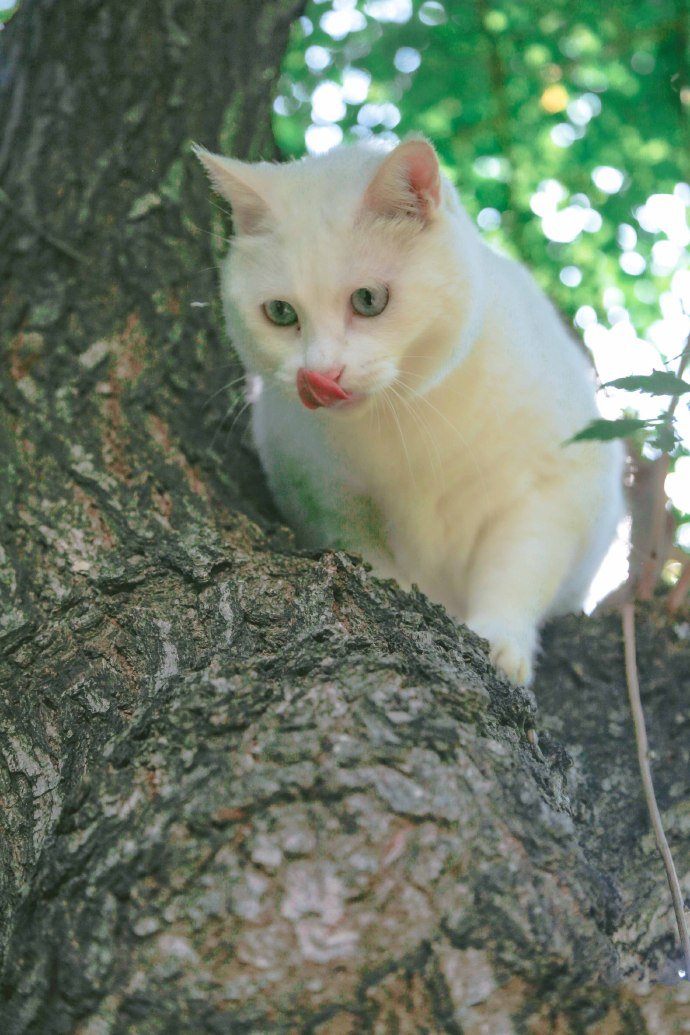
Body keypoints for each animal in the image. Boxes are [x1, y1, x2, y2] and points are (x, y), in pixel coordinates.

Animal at [195, 139, 624, 687]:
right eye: (281, 313)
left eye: (368, 300)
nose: (320, 374)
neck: (402, 423)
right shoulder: (320, 491)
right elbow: (369, 555)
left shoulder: (552, 492)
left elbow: (517, 569)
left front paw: (500, 642)